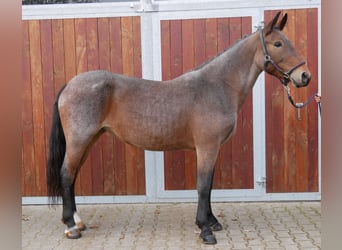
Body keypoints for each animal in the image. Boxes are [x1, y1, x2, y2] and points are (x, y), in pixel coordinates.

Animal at [46, 11, 312, 244]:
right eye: (278, 44)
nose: (304, 76)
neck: (217, 86)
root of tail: (69, 84)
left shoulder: (211, 148)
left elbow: (209, 185)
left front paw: (212, 221)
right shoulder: (207, 147)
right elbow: (203, 186)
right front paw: (205, 230)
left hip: (88, 141)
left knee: (72, 176)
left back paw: (78, 222)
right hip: (80, 141)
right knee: (67, 174)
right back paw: (71, 227)